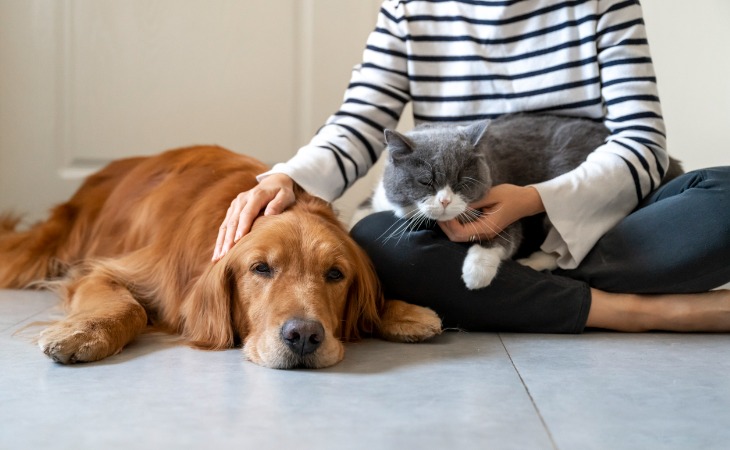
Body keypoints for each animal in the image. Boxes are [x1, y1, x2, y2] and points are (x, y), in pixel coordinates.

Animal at [0, 148, 438, 370]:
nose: (304, 336)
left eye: (335, 274)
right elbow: (130, 307)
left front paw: (404, 312)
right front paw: (83, 332)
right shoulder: (106, 270)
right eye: (260, 268)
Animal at [352, 114, 684, 290]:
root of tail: (670, 163)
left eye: (462, 182)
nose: (445, 200)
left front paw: (476, 273)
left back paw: (533, 262)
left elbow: (504, 235)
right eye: (426, 182)